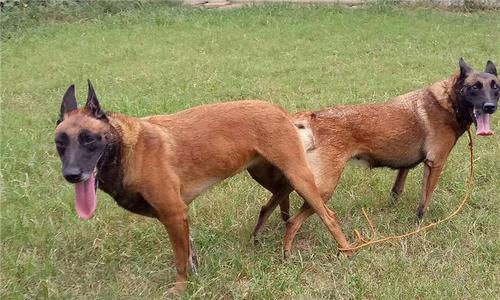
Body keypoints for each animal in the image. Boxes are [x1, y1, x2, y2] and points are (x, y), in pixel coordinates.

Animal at [53, 81, 352, 294]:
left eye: (89, 139)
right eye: (60, 143)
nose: (72, 175)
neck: (129, 149)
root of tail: (280, 111)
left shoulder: (173, 214)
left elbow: (180, 259)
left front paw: (180, 289)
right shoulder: (180, 217)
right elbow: (189, 253)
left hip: (299, 176)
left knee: (328, 214)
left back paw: (346, 249)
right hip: (265, 173)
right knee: (278, 196)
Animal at [252, 59, 498, 258]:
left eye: (495, 87)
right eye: (474, 87)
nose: (490, 107)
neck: (449, 100)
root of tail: (311, 117)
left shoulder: (405, 166)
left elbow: (396, 191)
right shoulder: (435, 164)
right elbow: (424, 202)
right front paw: (419, 226)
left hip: (299, 180)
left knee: (267, 207)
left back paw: (256, 239)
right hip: (322, 189)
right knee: (296, 220)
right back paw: (291, 253)